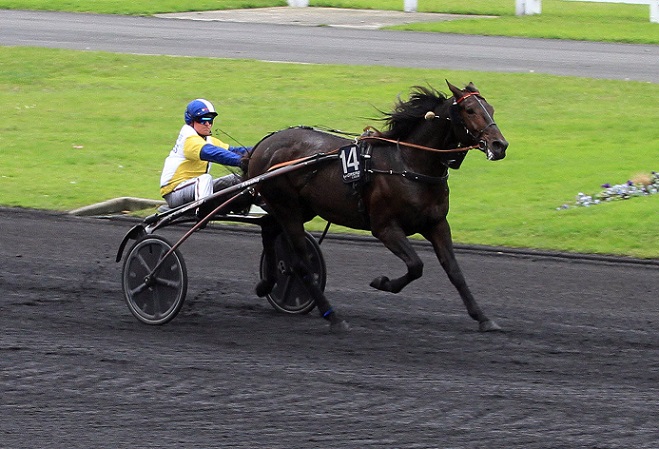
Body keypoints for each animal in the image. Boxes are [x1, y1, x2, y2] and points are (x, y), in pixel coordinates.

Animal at [248, 80, 510, 332]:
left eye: (491, 109)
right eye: (470, 110)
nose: (500, 145)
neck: (408, 165)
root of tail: (263, 145)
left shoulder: (436, 224)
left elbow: (454, 271)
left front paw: (483, 318)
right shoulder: (385, 227)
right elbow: (416, 265)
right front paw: (382, 282)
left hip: (301, 208)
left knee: (269, 228)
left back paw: (266, 284)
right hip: (287, 207)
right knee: (300, 262)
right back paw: (333, 317)